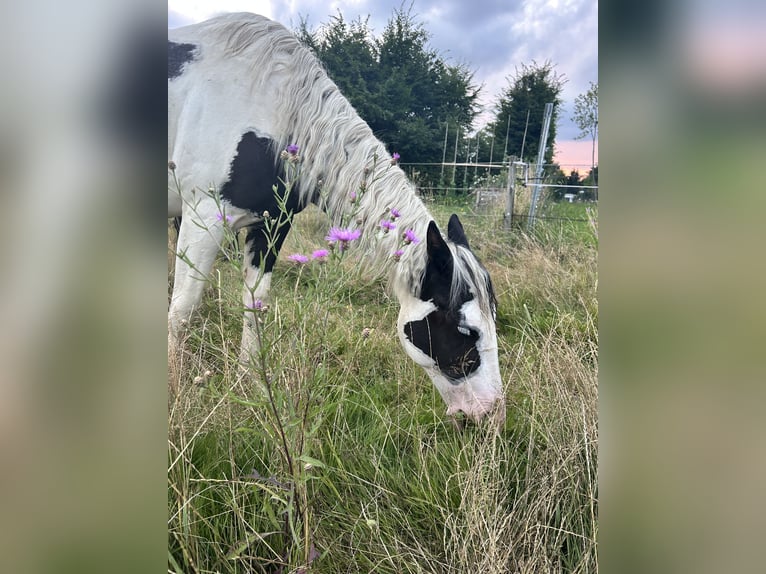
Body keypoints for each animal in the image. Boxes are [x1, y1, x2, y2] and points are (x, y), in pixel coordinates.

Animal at [168, 13, 505, 422]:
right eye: (466, 330)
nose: (491, 414)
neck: (274, 108)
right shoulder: (203, 217)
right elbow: (182, 311)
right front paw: (173, 393)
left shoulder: (271, 226)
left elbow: (255, 305)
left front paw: (249, 383)